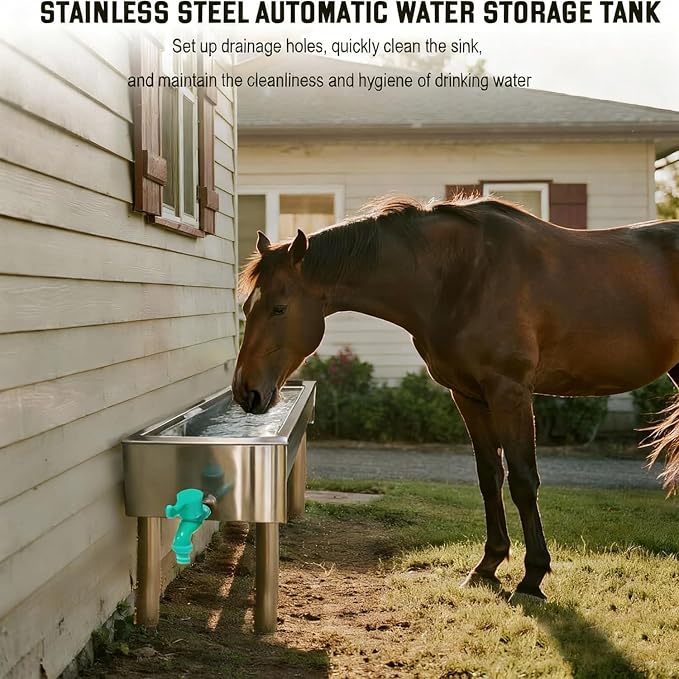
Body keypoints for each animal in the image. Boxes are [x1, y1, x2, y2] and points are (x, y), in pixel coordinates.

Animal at [232, 194, 679, 600]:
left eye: (279, 308)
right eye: (247, 307)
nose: (245, 390)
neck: (463, 276)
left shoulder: (510, 391)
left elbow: (523, 480)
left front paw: (532, 578)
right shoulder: (468, 395)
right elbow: (489, 477)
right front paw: (488, 566)